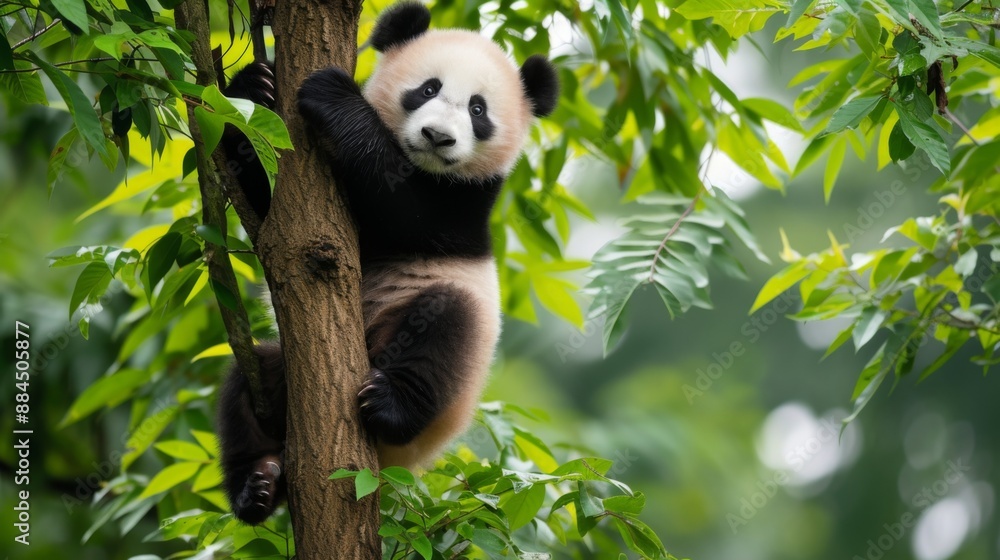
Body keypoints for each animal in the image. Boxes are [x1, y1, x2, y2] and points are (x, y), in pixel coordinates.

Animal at [216, 1, 559, 525]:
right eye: (428, 89)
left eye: (477, 110)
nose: (437, 137)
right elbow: (268, 204)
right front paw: (253, 87)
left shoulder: (464, 206)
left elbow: (402, 205)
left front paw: (333, 95)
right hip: (278, 375)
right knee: (243, 387)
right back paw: (256, 486)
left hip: (442, 345)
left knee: (445, 327)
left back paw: (390, 405)